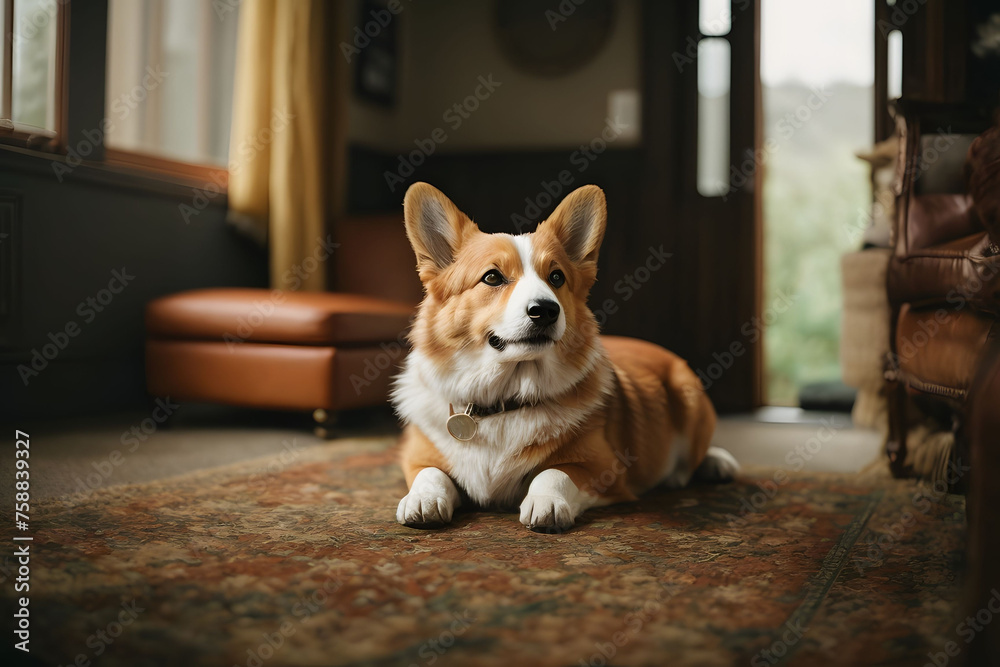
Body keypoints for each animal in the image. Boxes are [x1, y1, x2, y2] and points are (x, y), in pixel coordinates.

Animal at [394, 183, 740, 532]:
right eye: (492, 277)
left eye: (556, 277)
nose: (546, 310)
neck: (505, 399)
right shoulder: (417, 455)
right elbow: (430, 473)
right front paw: (422, 499)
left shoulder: (603, 468)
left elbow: (555, 473)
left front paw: (546, 502)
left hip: (688, 393)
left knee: (698, 453)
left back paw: (717, 462)